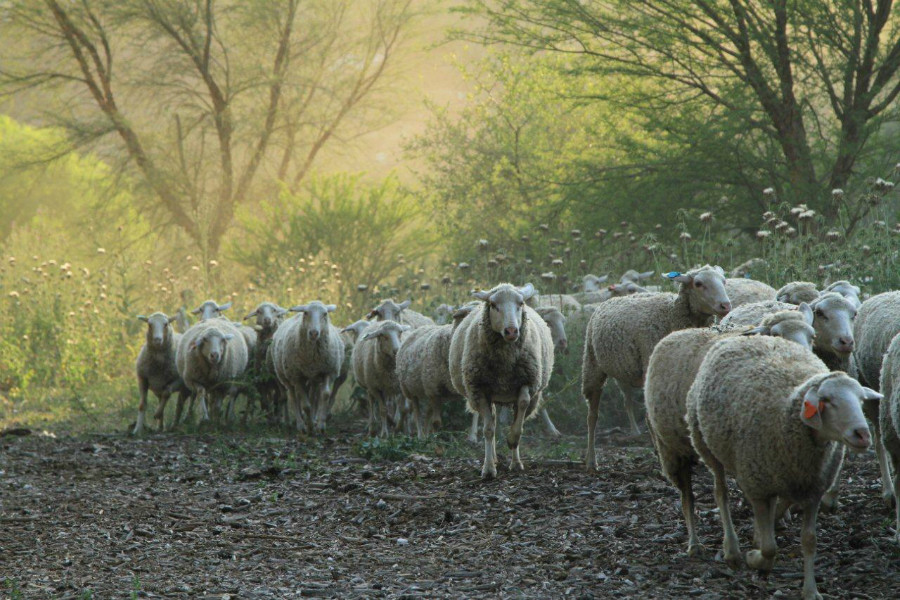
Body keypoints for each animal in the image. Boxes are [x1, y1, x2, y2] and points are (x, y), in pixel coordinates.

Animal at [270, 302, 344, 434]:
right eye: (306, 313)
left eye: (325, 314)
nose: (314, 333)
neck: (313, 356)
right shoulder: (297, 377)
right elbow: (306, 405)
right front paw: (309, 427)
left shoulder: (328, 372)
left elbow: (325, 395)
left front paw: (320, 425)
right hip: (286, 376)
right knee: (293, 397)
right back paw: (300, 424)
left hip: (313, 377)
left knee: (313, 395)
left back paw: (312, 420)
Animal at [450, 284, 556, 480]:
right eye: (493, 305)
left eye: (520, 303)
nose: (512, 331)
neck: (505, 363)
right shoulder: (479, 390)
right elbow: (488, 430)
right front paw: (488, 469)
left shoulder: (527, 383)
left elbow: (520, 414)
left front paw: (512, 441)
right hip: (485, 394)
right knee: (491, 423)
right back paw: (493, 459)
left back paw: (515, 463)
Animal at [580, 264, 736, 458]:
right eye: (698, 283)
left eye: (724, 281)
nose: (725, 305)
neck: (671, 316)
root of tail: (614, 298)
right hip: (592, 363)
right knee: (592, 416)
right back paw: (591, 459)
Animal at [644, 310, 820, 556]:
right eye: (777, 334)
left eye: (812, 336)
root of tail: (674, 333)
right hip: (673, 449)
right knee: (690, 496)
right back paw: (696, 544)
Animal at [684, 336, 876, 596]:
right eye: (826, 400)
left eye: (861, 400)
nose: (862, 435)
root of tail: (745, 336)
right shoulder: (757, 486)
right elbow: (769, 548)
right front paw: (756, 559)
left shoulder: (813, 489)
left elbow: (809, 541)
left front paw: (811, 591)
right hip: (706, 444)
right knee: (721, 493)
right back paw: (732, 550)